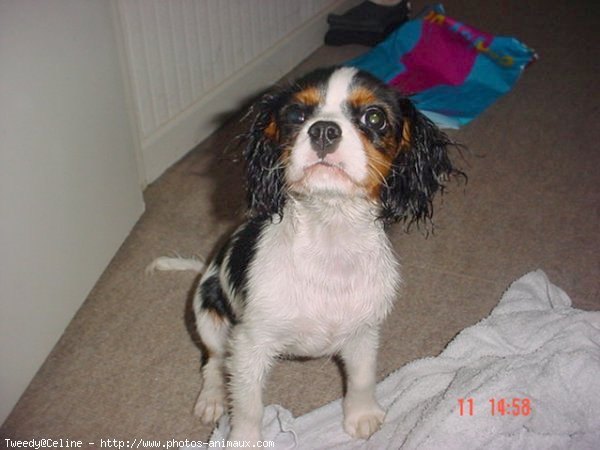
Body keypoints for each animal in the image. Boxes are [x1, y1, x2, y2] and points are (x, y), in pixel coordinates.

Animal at [152, 67, 462, 442]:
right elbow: (248, 404)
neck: (330, 237)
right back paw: (211, 398)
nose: (324, 129)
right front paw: (244, 439)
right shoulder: (249, 343)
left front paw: (361, 415)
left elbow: (362, 377)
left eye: (374, 117)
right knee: (212, 361)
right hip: (208, 312)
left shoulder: (364, 331)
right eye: (296, 115)